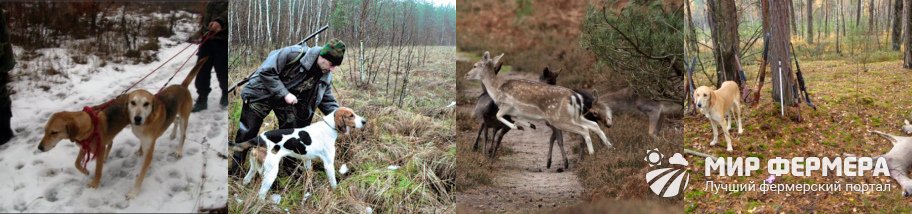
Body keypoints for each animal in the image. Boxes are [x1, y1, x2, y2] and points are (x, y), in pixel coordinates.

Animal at [123, 57, 208, 199]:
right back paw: (173, 134)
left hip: (185, 118)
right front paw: (140, 150)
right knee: (175, 120)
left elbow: (141, 175)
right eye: (133, 103)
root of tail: (182, 86)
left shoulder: (149, 152)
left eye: (146, 104)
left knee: (183, 134)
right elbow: (141, 144)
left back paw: (179, 150)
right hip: (174, 114)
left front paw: (134, 192)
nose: (137, 119)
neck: (147, 121)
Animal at [230, 108, 368, 200]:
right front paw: (336, 192)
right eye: (351, 115)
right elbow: (333, 181)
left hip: (254, 167)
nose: (364, 121)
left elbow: (308, 174)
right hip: (271, 172)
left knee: (246, 179)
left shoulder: (307, 160)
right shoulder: (328, 164)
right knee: (261, 195)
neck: (329, 126)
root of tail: (259, 138)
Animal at [464, 51, 612, 155]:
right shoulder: (515, 112)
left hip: (559, 118)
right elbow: (515, 118)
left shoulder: (507, 105)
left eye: (474, 65)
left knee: (584, 129)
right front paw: (528, 125)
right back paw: (610, 147)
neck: (496, 90)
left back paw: (592, 153)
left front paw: (518, 126)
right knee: (594, 125)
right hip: (575, 116)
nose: (466, 75)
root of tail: (575, 97)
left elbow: (499, 115)